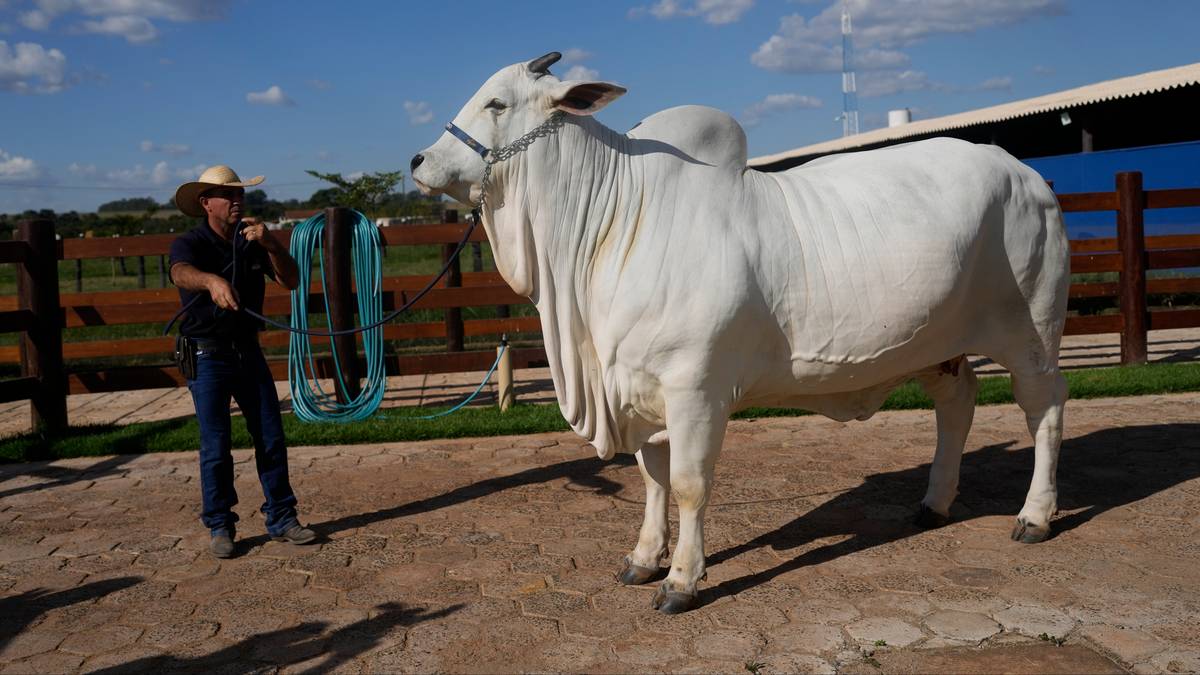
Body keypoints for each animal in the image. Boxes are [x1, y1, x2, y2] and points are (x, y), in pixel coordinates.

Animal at [412, 51, 1070, 610]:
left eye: (497, 102)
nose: (418, 161)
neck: (614, 223)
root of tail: (1028, 175)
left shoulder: (695, 389)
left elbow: (688, 484)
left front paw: (682, 579)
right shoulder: (641, 389)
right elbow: (651, 479)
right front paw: (643, 558)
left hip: (1031, 335)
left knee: (1044, 410)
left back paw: (1035, 516)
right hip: (942, 347)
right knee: (957, 405)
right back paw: (935, 502)